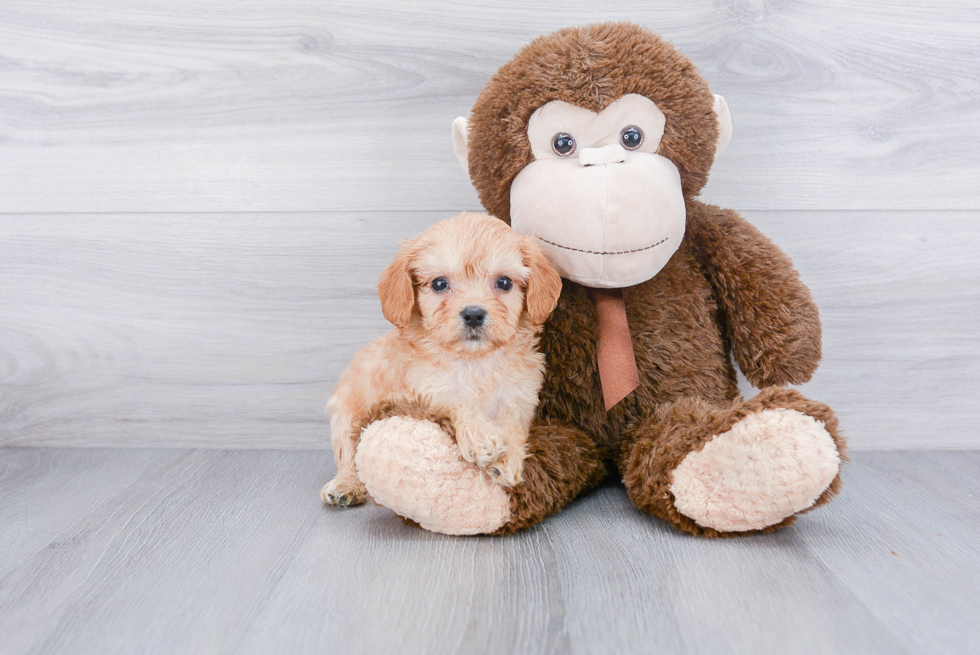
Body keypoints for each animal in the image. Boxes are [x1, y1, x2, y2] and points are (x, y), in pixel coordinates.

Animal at [324, 211, 560, 508]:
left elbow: (513, 430)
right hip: (346, 413)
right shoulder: (427, 391)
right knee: (348, 456)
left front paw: (507, 461)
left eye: (504, 282)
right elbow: (460, 403)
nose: (473, 314)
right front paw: (482, 438)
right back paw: (346, 486)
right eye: (439, 283)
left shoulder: (517, 401)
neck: (476, 363)